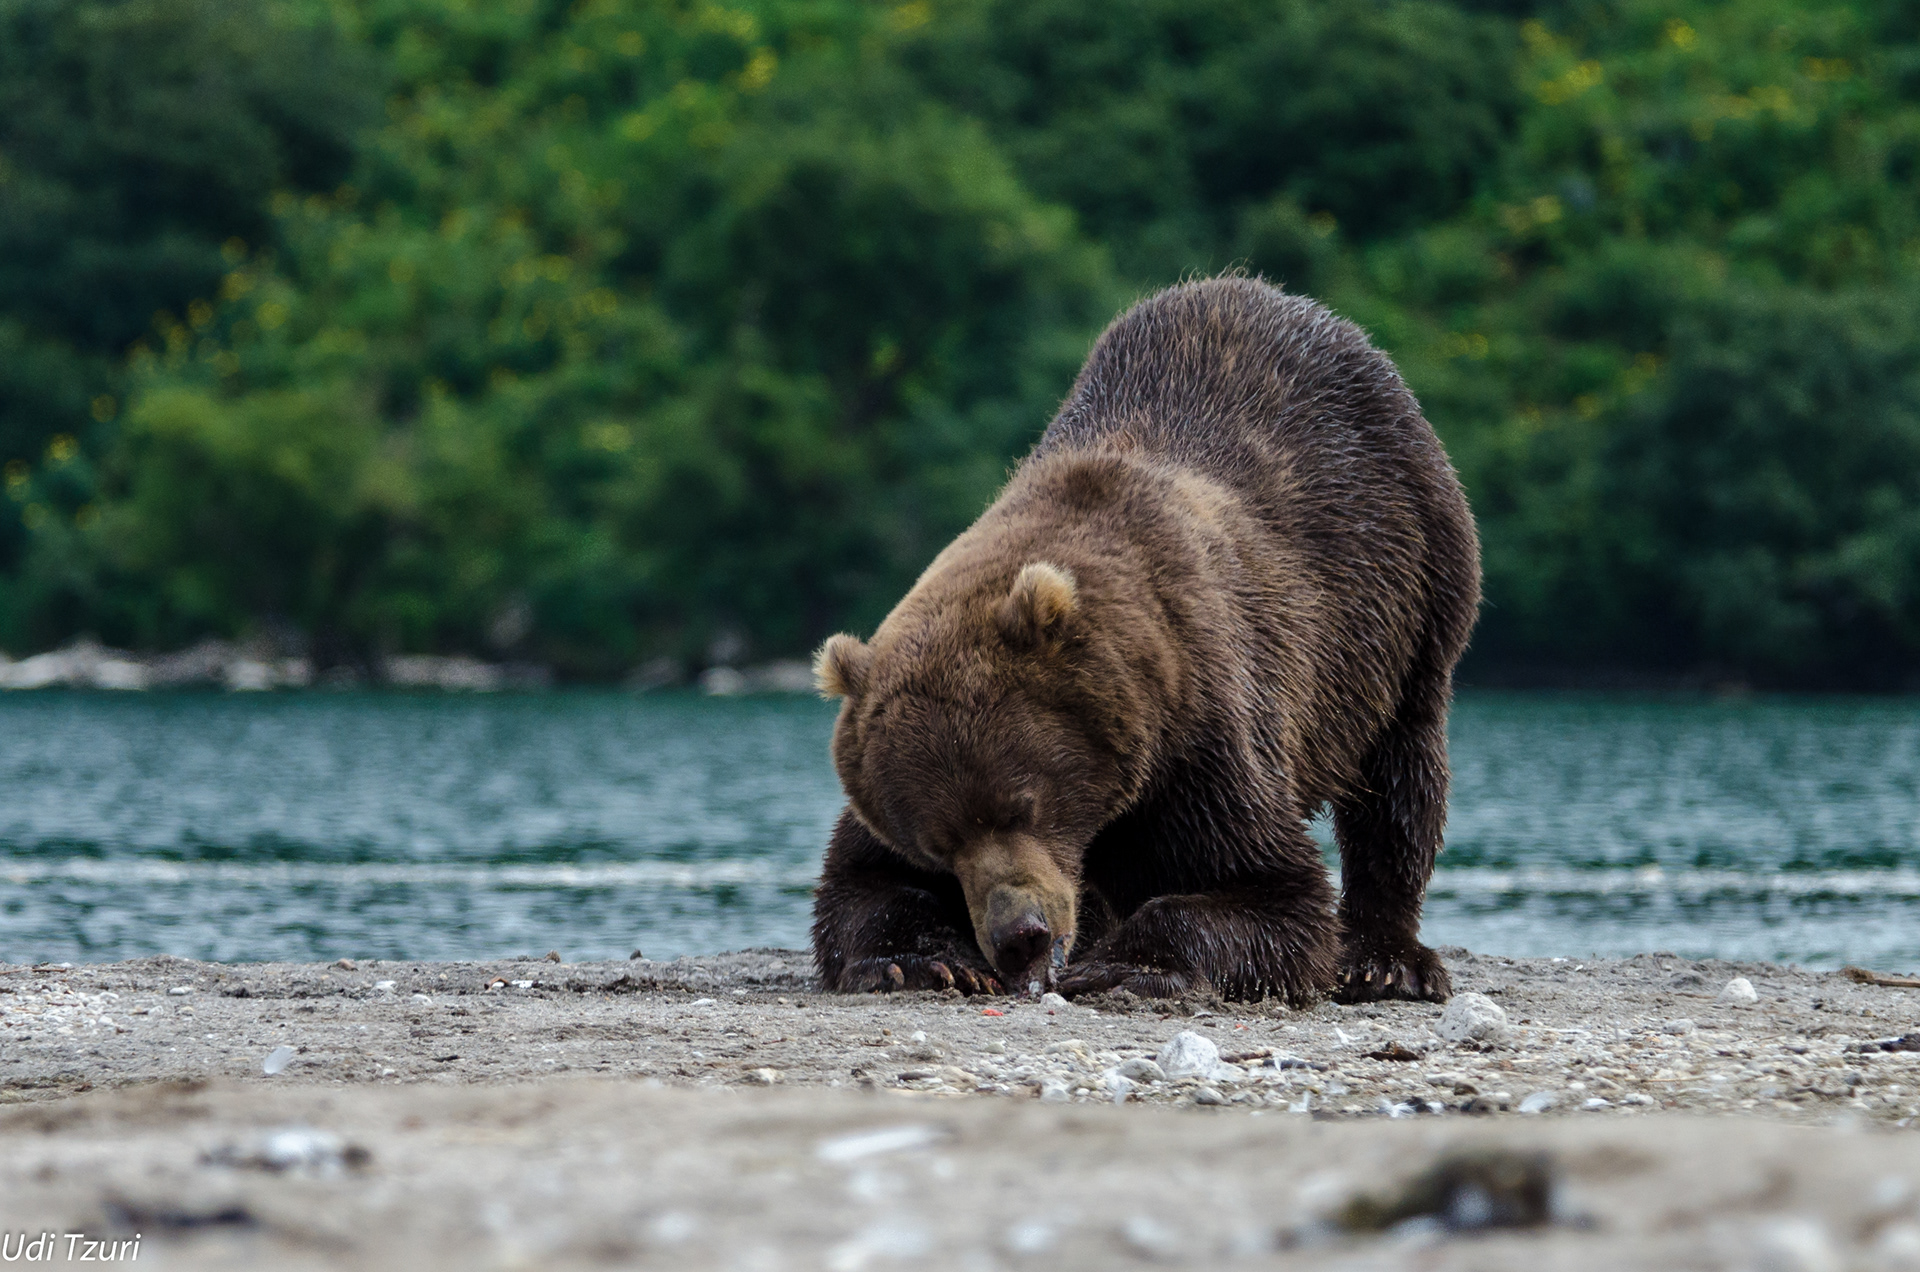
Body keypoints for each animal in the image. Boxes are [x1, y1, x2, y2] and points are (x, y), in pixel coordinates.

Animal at [802, 276, 1474, 1006]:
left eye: (1021, 804)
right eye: (938, 842)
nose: (1021, 935)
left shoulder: (1200, 738)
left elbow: (1268, 889)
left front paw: (1127, 962)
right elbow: (860, 883)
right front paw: (922, 959)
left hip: (1405, 588)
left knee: (1400, 778)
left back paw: (1387, 960)